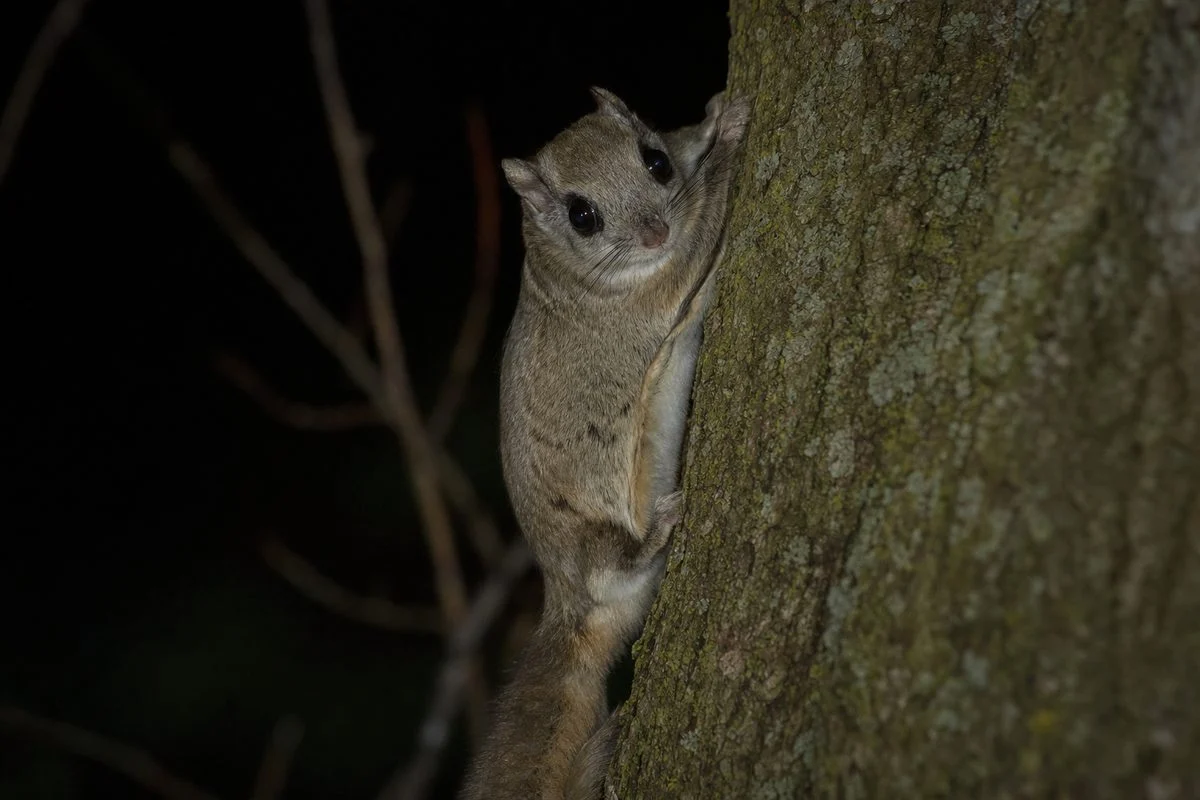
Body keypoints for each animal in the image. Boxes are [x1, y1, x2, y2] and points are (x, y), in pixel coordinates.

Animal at [459, 87, 749, 800]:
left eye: (654, 160)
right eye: (581, 215)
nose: (653, 232)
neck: (561, 265)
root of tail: (566, 601)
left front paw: (712, 118)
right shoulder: (645, 292)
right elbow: (704, 224)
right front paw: (730, 142)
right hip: (594, 547)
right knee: (617, 561)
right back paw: (658, 529)